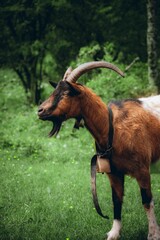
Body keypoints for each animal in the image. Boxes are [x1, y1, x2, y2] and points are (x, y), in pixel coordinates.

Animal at [37, 62, 160, 240]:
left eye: (66, 93)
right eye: (55, 91)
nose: (40, 111)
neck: (112, 128)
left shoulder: (142, 169)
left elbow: (147, 201)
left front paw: (153, 234)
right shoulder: (114, 172)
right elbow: (116, 200)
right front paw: (113, 233)